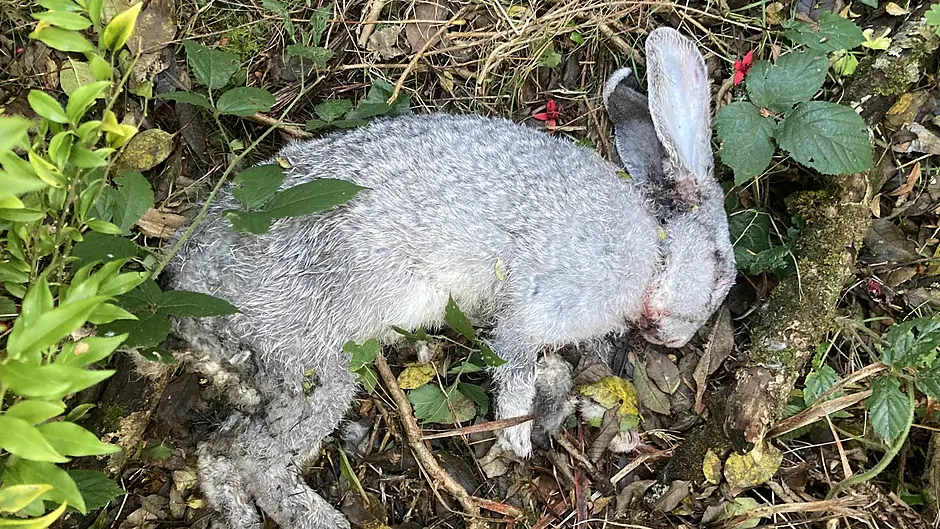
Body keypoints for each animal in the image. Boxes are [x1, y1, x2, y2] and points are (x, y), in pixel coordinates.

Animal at [161, 26, 735, 529]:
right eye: (717, 266)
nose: (674, 338)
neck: (654, 249)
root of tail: (190, 291)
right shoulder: (541, 305)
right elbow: (516, 360)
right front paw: (515, 439)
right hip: (315, 365)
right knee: (253, 461)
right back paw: (319, 518)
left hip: (272, 376)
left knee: (217, 451)